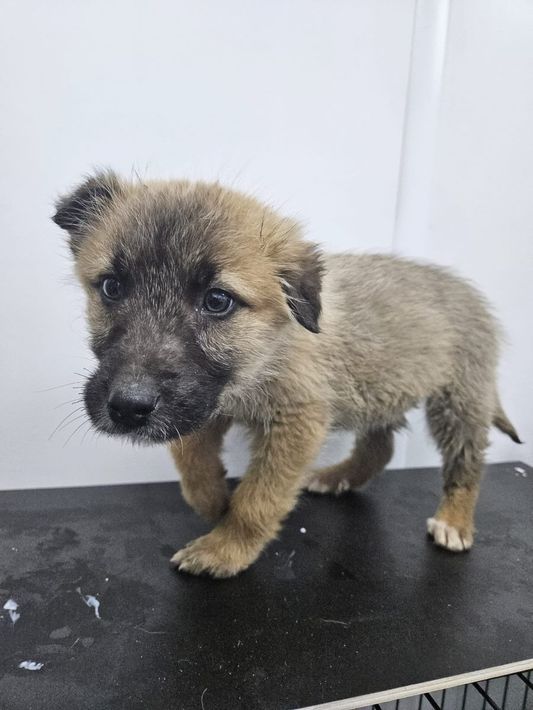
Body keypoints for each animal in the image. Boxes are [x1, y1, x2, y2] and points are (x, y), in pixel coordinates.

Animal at [53, 171, 521, 578]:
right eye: (112, 287)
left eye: (217, 301)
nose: (128, 409)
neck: (263, 354)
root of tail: (466, 290)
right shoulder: (203, 403)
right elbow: (192, 462)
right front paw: (213, 501)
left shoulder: (295, 421)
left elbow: (258, 498)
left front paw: (226, 548)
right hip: (380, 391)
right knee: (380, 447)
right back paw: (337, 477)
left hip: (458, 400)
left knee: (466, 460)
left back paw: (454, 520)